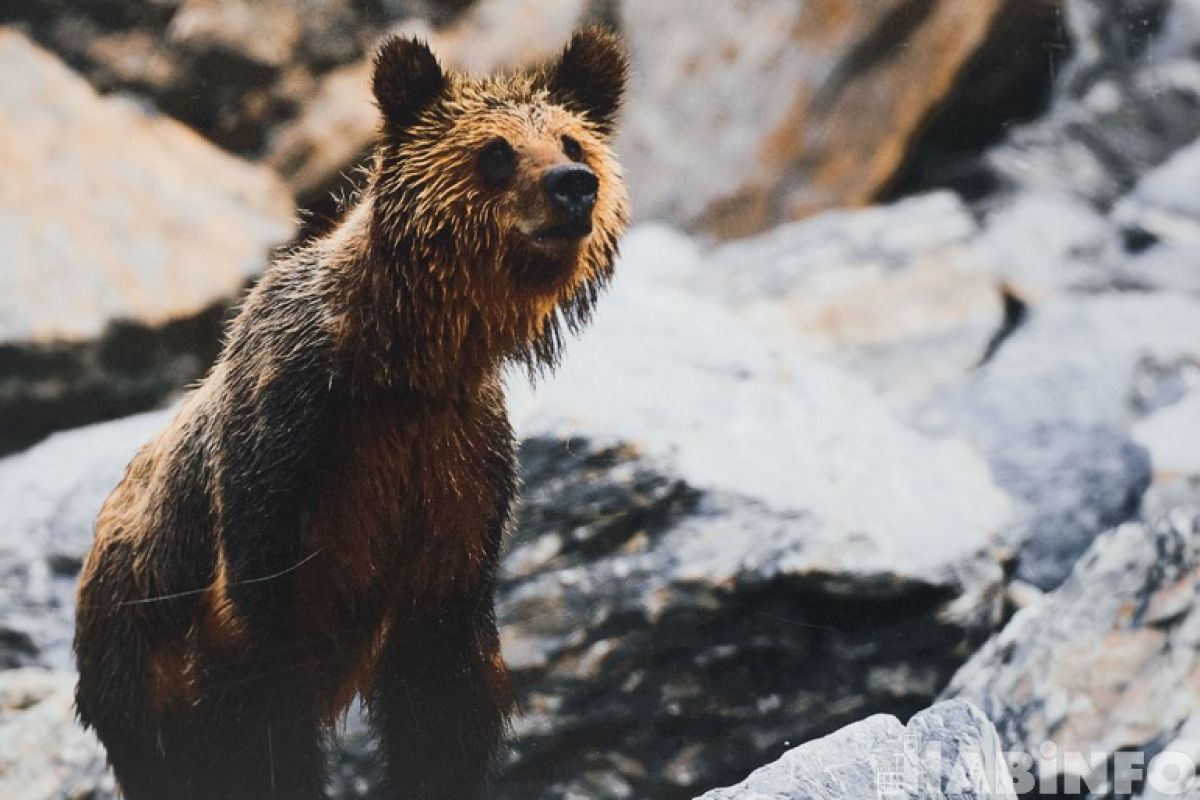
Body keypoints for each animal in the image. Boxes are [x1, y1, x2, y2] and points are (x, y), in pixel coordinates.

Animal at [76, 28, 633, 796]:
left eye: (573, 141)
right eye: (496, 150)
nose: (573, 185)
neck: (403, 362)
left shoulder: (456, 469)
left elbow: (440, 684)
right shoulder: (288, 453)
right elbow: (261, 688)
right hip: (132, 653)